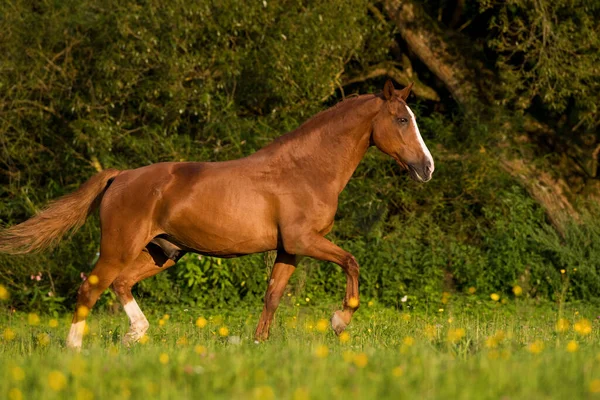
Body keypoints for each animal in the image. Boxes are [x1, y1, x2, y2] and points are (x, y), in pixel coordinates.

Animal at [0, 79, 432, 348]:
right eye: (401, 119)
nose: (426, 168)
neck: (306, 169)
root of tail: (120, 177)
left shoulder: (289, 249)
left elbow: (272, 296)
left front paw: (258, 343)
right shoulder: (305, 241)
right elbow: (352, 262)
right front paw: (340, 321)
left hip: (164, 253)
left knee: (121, 284)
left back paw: (135, 334)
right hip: (120, 248)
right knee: (90, 288)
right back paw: (76, 350)